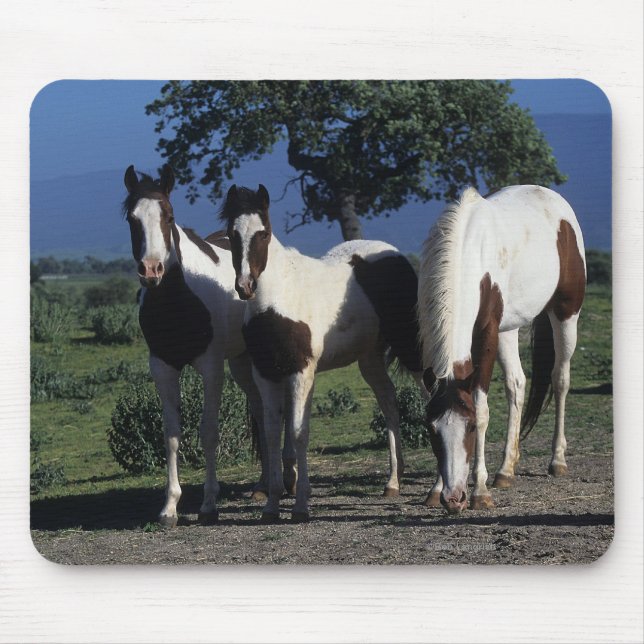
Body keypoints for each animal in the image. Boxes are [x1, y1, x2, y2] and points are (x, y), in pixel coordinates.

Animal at [122, 164, 294, 527]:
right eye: (132, 218)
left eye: (169, 216)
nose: (151, 270)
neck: (179, 300)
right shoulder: (162, 367)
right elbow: (171, 434)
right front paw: (169, 507)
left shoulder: (211, 368)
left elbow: (209, 431)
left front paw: (208, 504)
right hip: (243, 363)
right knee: (261, 412)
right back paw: (262, 486)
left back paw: (288, 478)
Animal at [219, 183, 427, 523]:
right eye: (231, 235)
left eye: (264, 234)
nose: (245, 286)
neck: (278, 299)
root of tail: (394, 255)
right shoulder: (265, 374)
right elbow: (271, 434)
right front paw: (271, 505)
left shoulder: (301, 372)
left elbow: (298, 432)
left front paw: (301, 506)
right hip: (370, 360)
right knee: (390, 404)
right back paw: (393, 482)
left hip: (411, 349)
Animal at [417, 185, 586, 514]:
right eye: (432, 430)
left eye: (470, 427)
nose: (454, 498)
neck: (466, 254)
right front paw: (435, 488)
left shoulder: (486, 334)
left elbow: (482, 407)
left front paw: (480, 491)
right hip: (509, 329)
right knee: (517, 384)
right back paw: (506, 470)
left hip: (565, 314)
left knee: (560, 380)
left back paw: (557, 460)